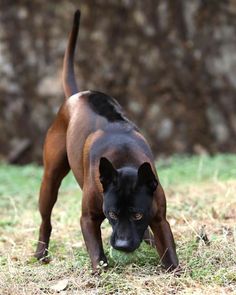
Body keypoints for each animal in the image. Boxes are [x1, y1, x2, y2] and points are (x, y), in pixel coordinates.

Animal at [34, 9, 179, 272]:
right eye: (112, 215)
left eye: (137, 215)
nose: (122, 245)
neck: (125, 160)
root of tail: (77, 94)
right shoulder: (88, 218)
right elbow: (97, 256)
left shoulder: (160, 219)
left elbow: (170, 256)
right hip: (50, 180)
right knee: (46, 219)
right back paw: (41, 252)